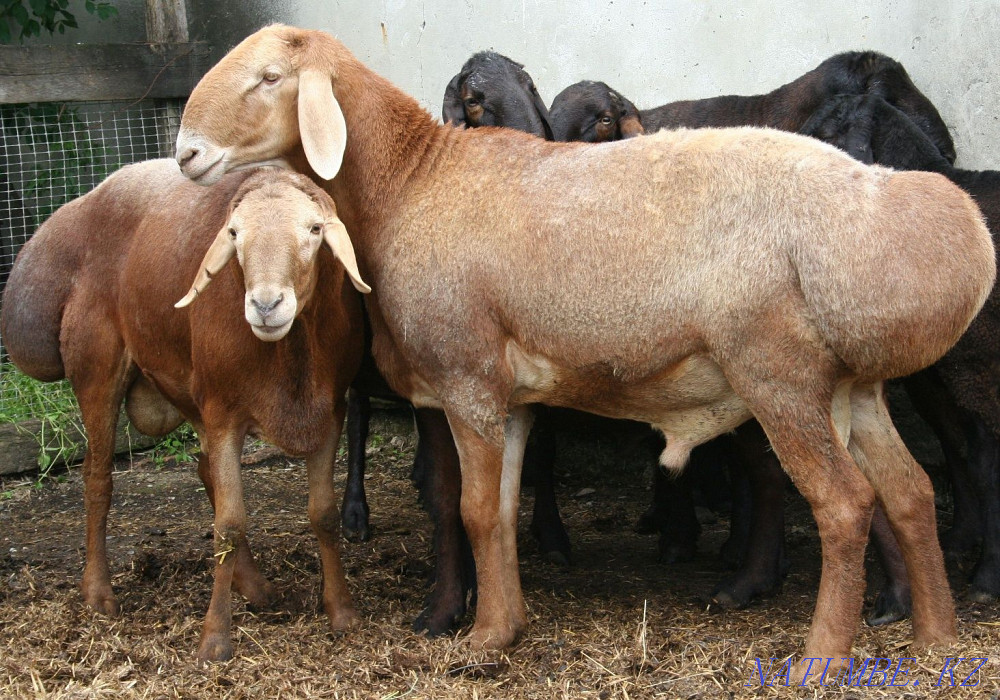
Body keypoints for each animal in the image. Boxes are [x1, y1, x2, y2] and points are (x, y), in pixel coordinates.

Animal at [0, 162, 371, 661]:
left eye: (314, 230)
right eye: (234, 234)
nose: (266, 305)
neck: (288, 353)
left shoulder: (329, 411)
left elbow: (324, 515)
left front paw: (342, 613)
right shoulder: (224, 413)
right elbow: (228, 525)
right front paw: (215, 638)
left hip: (192, 389)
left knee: (203, 470)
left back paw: (255, 587)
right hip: (100, 366)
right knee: (98, 478)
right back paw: (98, 592)